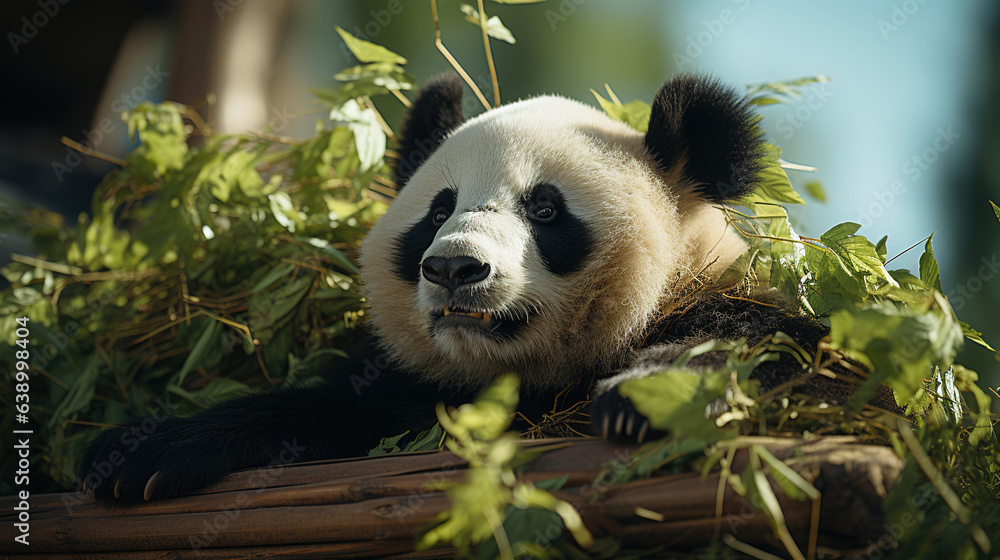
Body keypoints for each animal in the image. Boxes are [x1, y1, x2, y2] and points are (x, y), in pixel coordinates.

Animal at [81, 74, 878, 504]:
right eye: (439, 210)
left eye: (545, 209)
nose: (454, 268)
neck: (527, 379)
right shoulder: (412, 392)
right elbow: (326, 410)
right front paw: (141, 452)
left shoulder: (738, 305)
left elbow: (796, 363)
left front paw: (644, 394)